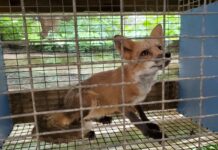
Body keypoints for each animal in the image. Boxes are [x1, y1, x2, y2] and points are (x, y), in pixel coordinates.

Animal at [33, 24, 171, 142]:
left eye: (160, 47)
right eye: (145, 53)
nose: (167, 54)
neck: (140, 82)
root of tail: (64, 105)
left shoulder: (137, 102)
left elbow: (143, 116)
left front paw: (150, 124)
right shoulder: (123, 105)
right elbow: (138, 123)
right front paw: (152, 134)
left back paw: (102, 119)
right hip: (90, 99)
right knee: (76, 123)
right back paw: (85, 133)